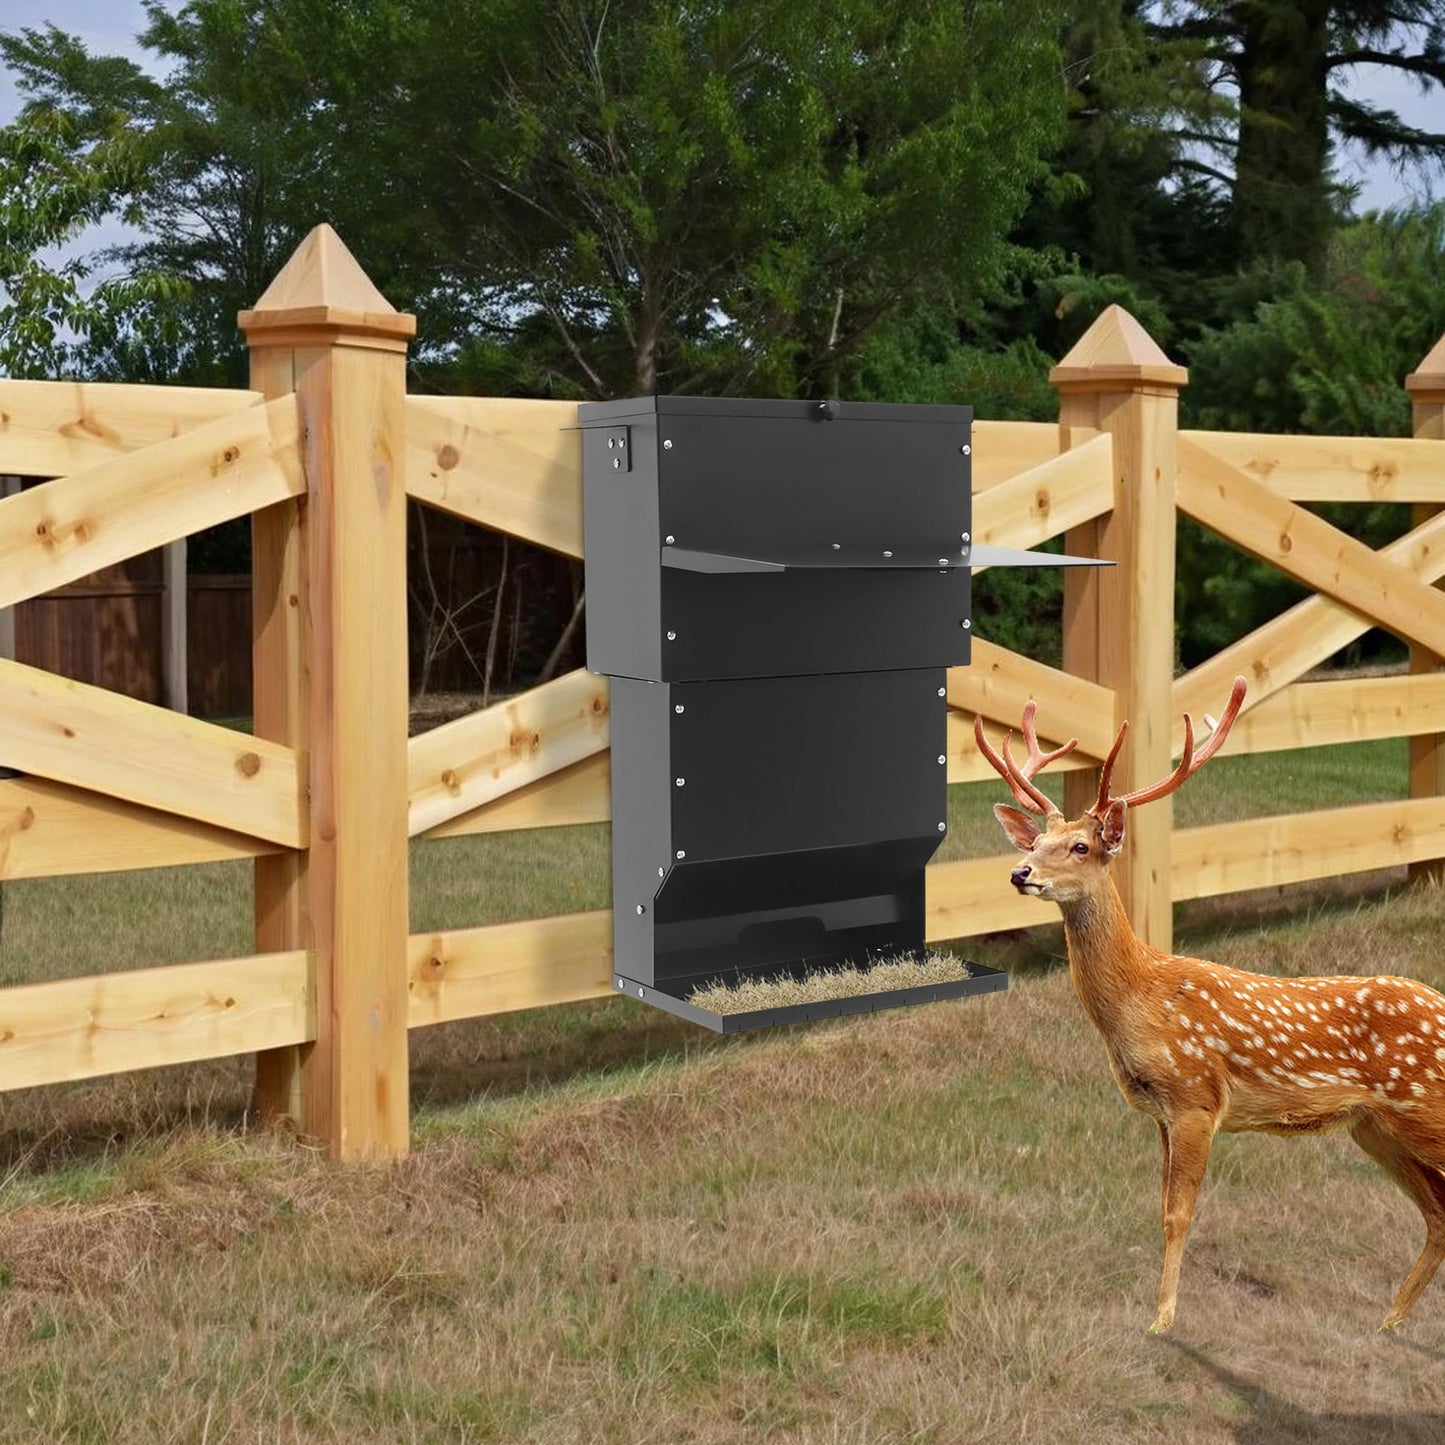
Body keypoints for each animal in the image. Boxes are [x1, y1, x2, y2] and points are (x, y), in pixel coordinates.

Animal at [976, 677, 1445, 1334]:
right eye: (1037, 841)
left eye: (1080, 846)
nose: (1020, 872)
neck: (1139, 1000)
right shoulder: (1160, 1113)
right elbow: (1160, 1210)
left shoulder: (1196, 1095)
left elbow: (1178, 1214)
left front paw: (1161, 1323)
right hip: (1374, 1127)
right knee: (1437, 1213)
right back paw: (1387, 1323)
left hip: (1422, 1105)